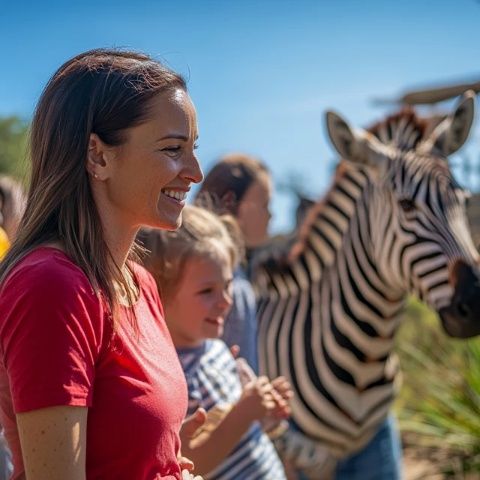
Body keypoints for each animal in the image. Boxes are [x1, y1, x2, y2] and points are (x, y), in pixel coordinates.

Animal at [253, 92, 478, 478]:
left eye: (463, 200)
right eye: (406, 205)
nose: (479, 302)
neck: (366, 353)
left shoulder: (376, 444)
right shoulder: (301, 453)